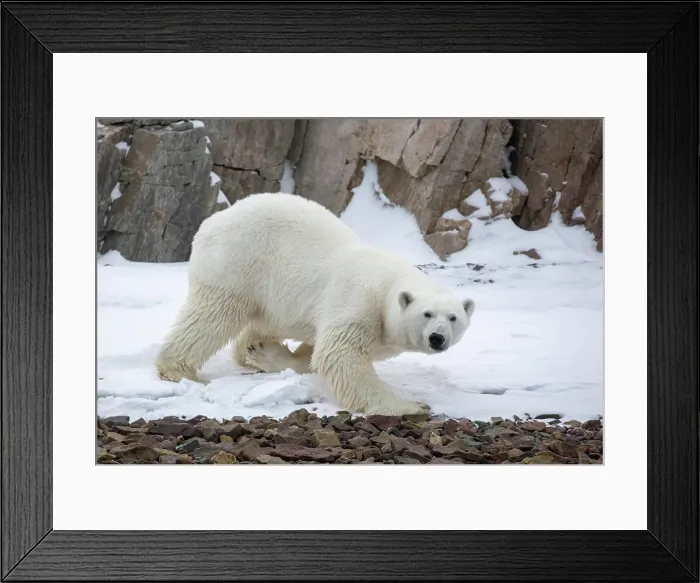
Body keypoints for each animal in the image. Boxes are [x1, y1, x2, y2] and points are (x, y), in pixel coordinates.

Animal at [155, 192, 475, 416]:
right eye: (427, 314)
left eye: (453, 318)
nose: (437, 338)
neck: (388, 286)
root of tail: (213, 221)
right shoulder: (359, 302)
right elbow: (339, 355)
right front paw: (411, 406)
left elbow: (317, 352)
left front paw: (268, 354)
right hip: (238, 262)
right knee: (212, 316)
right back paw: (177, 368)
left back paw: (251, 351)